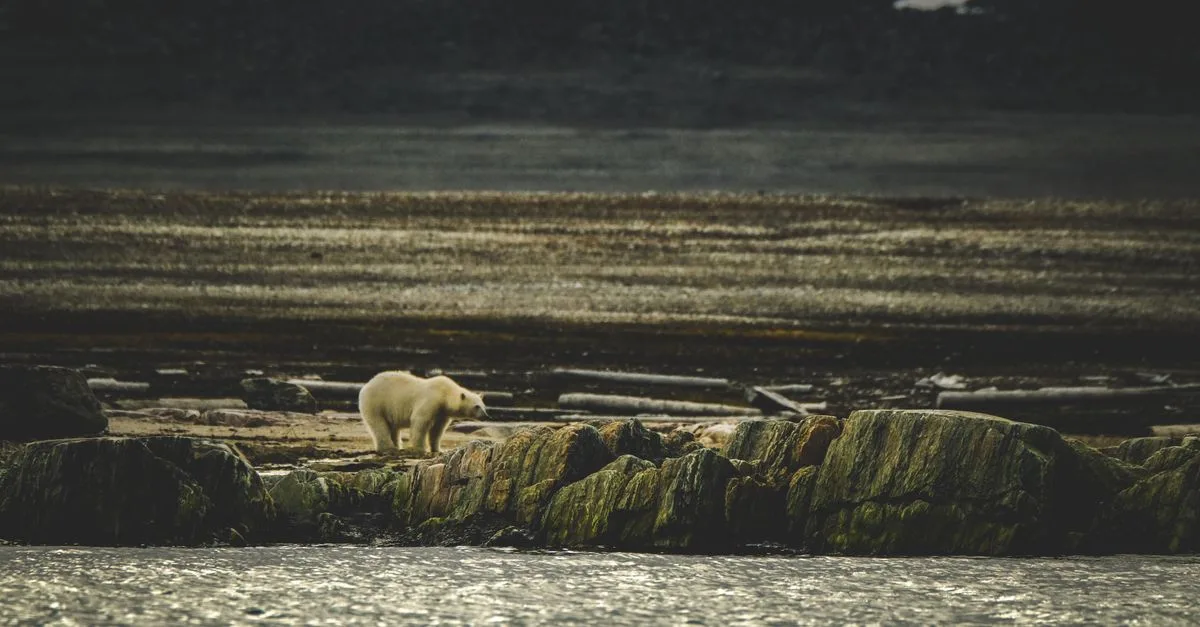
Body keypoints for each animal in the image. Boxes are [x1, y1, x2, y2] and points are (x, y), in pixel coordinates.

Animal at [358, 371, 489, 455]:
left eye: (484, 406)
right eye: (476, 406)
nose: (486, 415)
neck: (445, 393)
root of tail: (367, 384)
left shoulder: (442, 412)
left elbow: (437, 429)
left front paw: (438, 449)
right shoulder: (431, 401)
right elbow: (420, 421)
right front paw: (420, 449)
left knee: (392, 427)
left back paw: (396, 446)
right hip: (376, 403)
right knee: (379, 424)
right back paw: (389, 448)